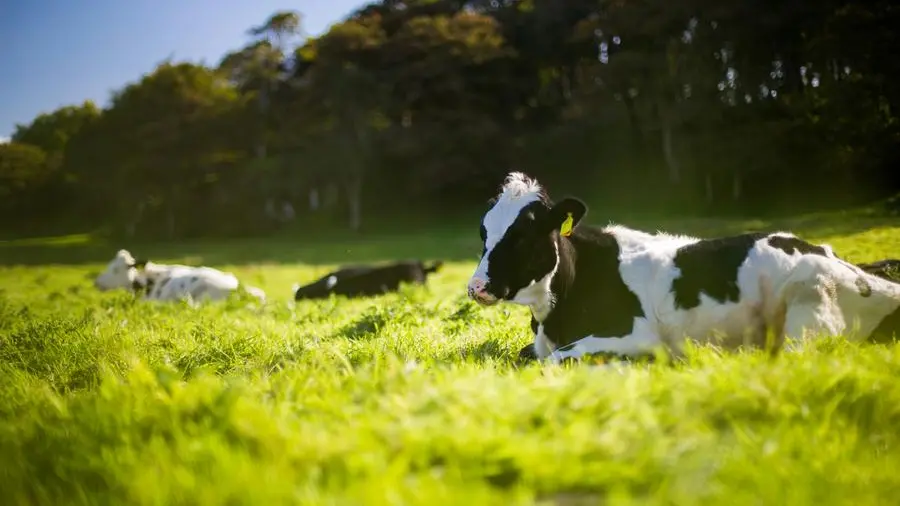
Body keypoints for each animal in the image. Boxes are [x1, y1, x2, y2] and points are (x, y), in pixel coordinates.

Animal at [466, 172, 900, 364]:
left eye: (524, 235)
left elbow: (556, 359)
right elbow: (530, 355)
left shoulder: (636, 333)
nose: (477, 286)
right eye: (484, 232)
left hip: (808, 308)